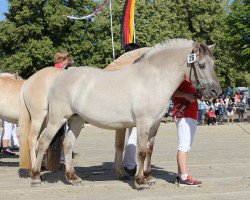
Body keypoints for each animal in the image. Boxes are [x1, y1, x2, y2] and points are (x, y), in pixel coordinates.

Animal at [30, 38, 221, 188]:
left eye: (213, 64)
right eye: (201, 65)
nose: (216, 92)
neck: (152, 79)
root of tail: (59, 77)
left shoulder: (155, 123)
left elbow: (149, 150)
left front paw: (148, 177)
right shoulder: (143, 122)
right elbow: (141, 151)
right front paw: (140, 181)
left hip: (77, 120)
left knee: (68, 144)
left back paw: (73, 178)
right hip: (57, 119)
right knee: (43, 142)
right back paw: (36, 177)